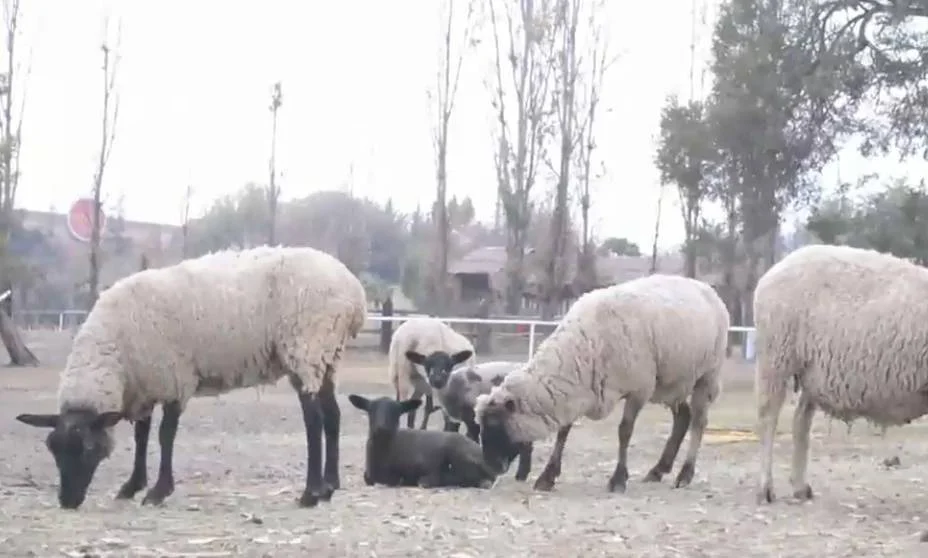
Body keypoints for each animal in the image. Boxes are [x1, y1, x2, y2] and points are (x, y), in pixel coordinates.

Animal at [15, 245, 367, 510]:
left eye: (88, 450)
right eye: (53, 449)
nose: (67, 501)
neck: (115, 354)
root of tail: (354, 293)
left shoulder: (174, 378)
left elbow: (164, 435)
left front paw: (158, 491)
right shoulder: (146, 383)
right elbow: (141, 436)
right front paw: (132, 486)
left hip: (306, 347)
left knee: (314, 421)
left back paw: (311, 493)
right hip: (327, 355)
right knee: (332, 416)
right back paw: (330, 487)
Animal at [475, 274, 728, 493]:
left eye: (495, 424)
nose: (488, 466)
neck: (584, 347)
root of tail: (707, 288)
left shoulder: (639, 389)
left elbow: (624, 431)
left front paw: (618, 480)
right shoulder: (579, 390)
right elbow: (563, 432)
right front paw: (547, 476)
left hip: (707, 374)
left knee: (698, 422)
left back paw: (685, 474)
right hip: (672, 383)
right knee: (683, 417)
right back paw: (658, 470)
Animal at [753, 243, 928, 504]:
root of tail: (775, 270)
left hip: (811, 372)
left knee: (800, 421)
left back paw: (800, 487)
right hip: (776, 355)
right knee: (768, 418)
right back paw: (765, 488)